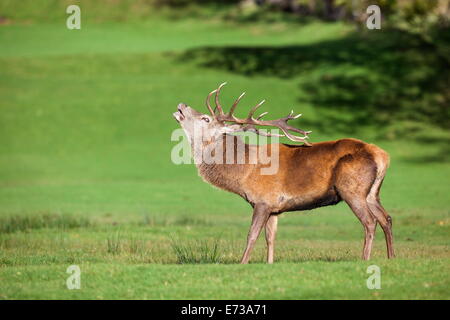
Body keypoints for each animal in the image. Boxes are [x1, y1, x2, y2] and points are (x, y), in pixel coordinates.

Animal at [172, 83, 394, 264]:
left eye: (205, 118)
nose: (181, 104)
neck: (243, 173)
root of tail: (382, 155)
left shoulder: (262, 200)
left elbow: (252, 235)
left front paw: (242, 263)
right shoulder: (274, 207)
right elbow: (270, 238)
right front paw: (269, 263)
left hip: (352, 188)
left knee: (370, 221)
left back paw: (365, 259)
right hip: (372, 193)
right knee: (386, 218)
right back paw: (391, 257)